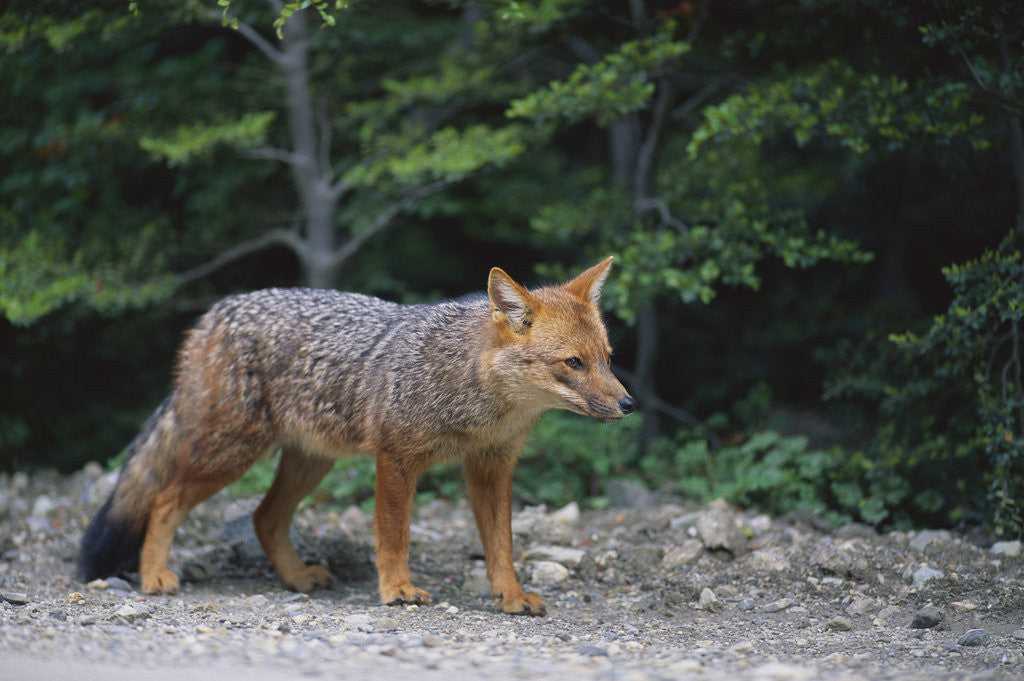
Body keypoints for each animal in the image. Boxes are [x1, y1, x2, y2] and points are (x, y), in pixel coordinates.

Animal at [77, 257, 636, 615]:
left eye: (608, 359)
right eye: (573, 363)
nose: (629, 405)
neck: (479, 403)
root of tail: (215, 312)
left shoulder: (491, 469)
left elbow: (502, 547)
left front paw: (512, 597)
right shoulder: (396, 458)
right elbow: (394, 535)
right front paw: (397, 590)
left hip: (308, 463)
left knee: (263, 518)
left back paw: (297, 578)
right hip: (230, 456)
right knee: (164, 501)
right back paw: (154, 576)